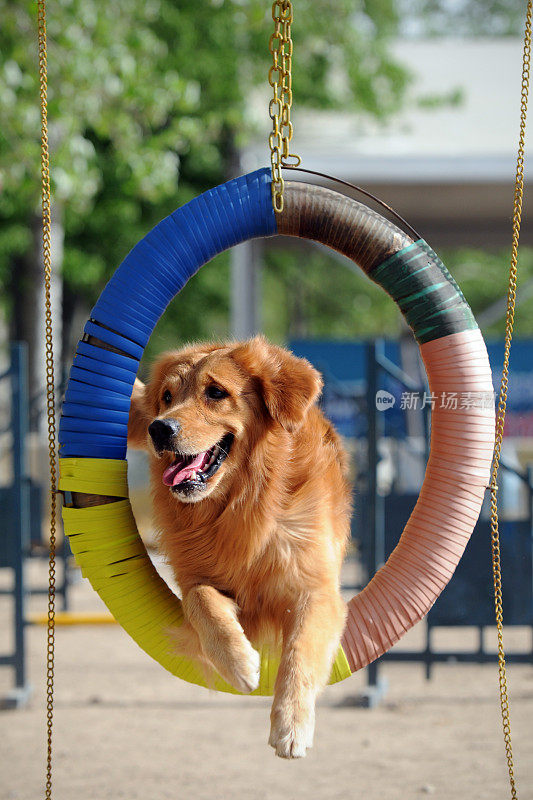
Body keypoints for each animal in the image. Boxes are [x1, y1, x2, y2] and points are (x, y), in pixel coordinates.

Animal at [128, 336, 352, 756]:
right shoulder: (197, 580)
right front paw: (240, 663)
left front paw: (292, 725)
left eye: (216, 392)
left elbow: (299, 652)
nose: (158, 428)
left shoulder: (315, 590)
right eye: (166, 397)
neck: (241, 505)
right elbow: (199, 600)